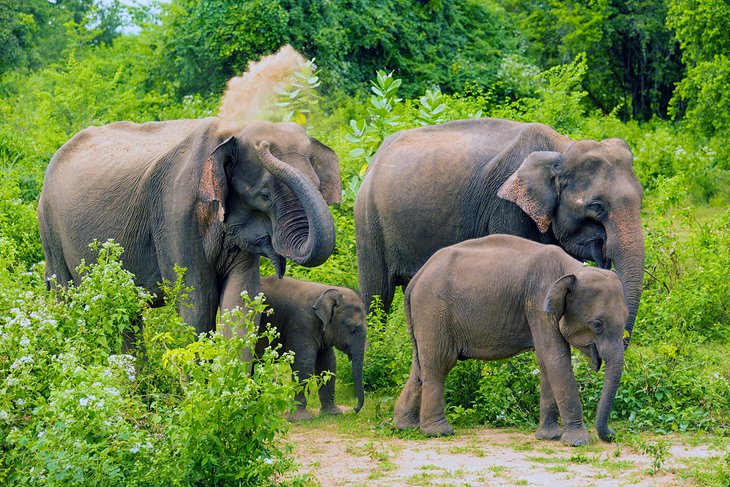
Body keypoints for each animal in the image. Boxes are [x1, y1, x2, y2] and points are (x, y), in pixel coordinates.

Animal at [41, 119, 342, 340]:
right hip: (49, 228)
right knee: (66, 299)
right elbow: (196, 306)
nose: (265, 145)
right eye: (265, 195)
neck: (227, 134)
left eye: (318, 185)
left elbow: (240, 305)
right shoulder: (174, 214)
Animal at [258, 276, 366, 422]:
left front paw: (333, 413)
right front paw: (301, 418)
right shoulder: (301, 323)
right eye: (353, 329)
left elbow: (328, 364)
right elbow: (304, 364)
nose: (355, 409)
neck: (326, 292)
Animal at [352, 117, 644, 346]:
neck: (561, 147)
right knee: (378, 294)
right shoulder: (505, 207)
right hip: (368, 221)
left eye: (641, 200)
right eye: (596, 207)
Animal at [396, 235, 628, 446]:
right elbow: (556, 359)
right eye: (597, 325)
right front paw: (578, 442)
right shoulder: (538, 303)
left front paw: (549, 437)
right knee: (439, 363)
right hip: (433, 310)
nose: (613, 434)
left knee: (420, 366)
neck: (573, 268)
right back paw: (439, 432)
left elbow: (546, 362)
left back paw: (405, 426)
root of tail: (416, 278)